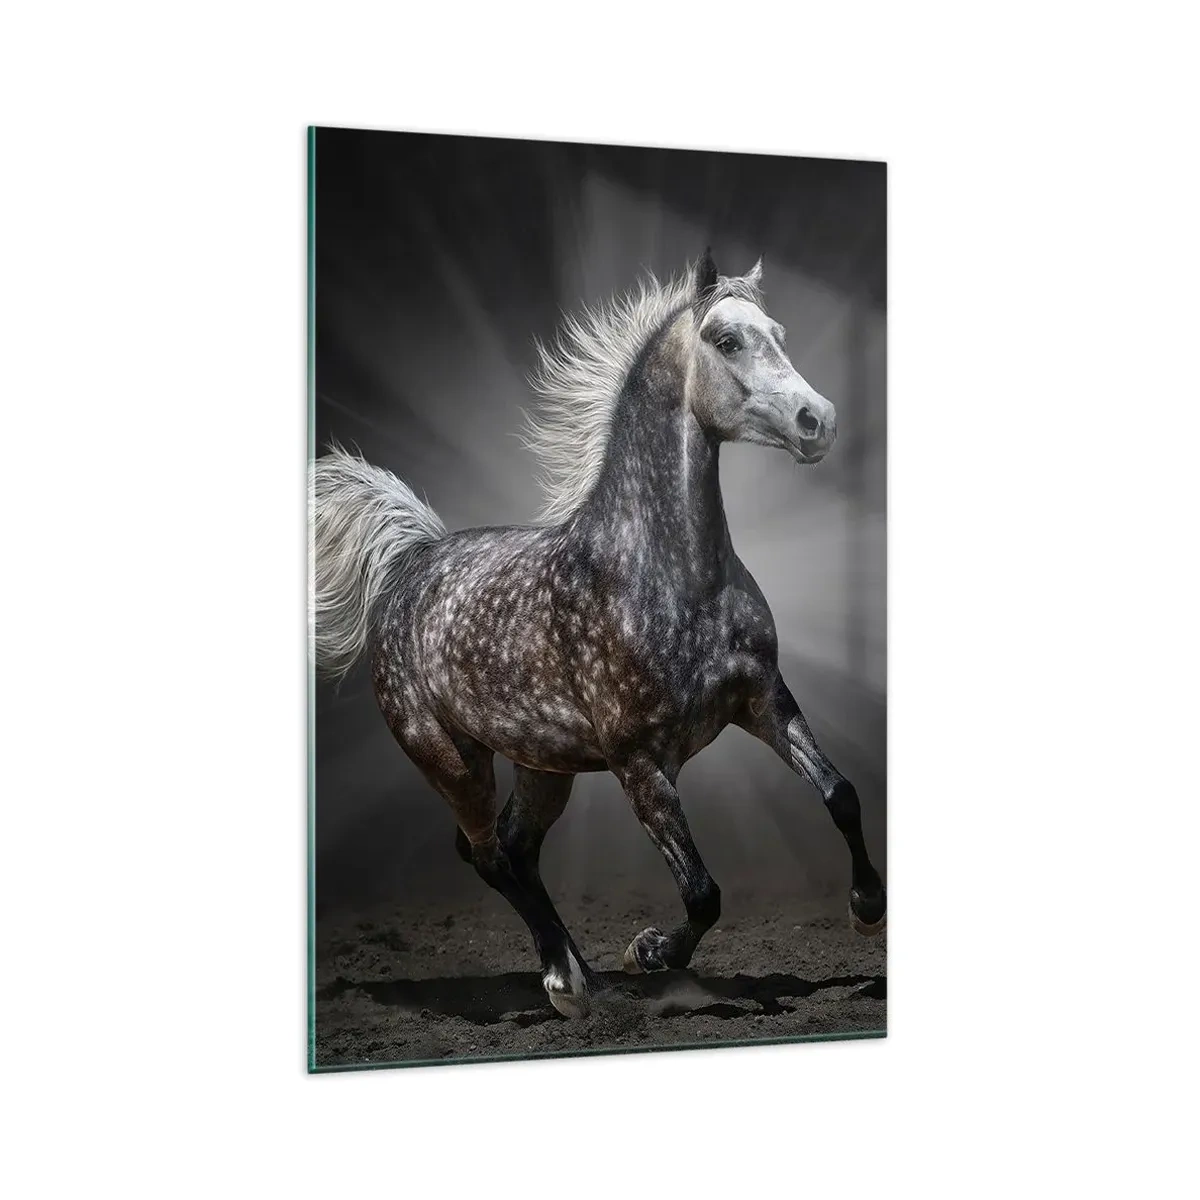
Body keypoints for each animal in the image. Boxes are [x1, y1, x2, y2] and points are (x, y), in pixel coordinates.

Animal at [312, 250, 886, 1018]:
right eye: (726, 340)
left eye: (778, 332)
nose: (817, 420)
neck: (667, 574)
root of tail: (413, 562)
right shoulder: (638, 763)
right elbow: (703, 893)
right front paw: (649, 952)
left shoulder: (764, 701)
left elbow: (841, 794)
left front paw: (867, 910)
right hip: (450, 760)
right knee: (488, 854)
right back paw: (567, 982)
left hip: (542, 766)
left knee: (514, 850)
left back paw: (578, 968)